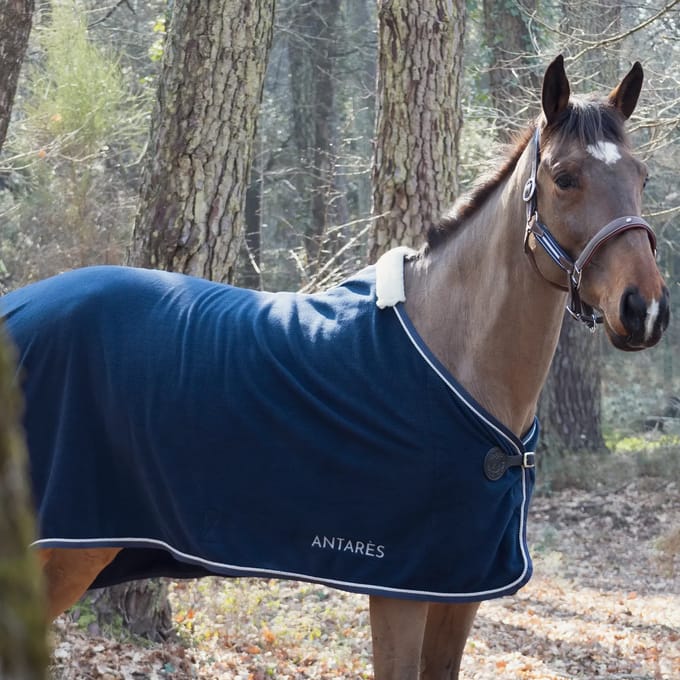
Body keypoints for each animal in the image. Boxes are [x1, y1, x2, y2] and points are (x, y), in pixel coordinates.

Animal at [0, 55, 669, 678]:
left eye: (639, 175)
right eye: (564, 178)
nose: (645, 308)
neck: (454, 354)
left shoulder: (461, 588)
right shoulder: (401, 586)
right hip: (63, 550)